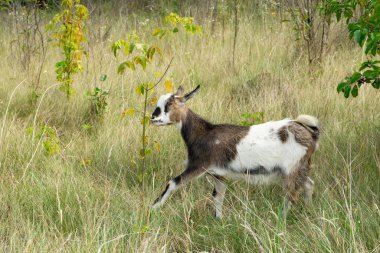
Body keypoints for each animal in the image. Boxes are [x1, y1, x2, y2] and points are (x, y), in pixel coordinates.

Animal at [150, 85, 320, 217]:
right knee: (309, 185)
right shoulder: (218, 174)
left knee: (291, 195)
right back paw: (308, 210)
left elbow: (172, 183)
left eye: (169, 104)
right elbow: (218, 196)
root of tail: (310, 134)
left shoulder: (198, 165)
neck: (204, 133)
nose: (152, 118)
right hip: (299, 168)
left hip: (291, 170)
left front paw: (153, 207)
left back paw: (282, 220)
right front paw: (218, 220)